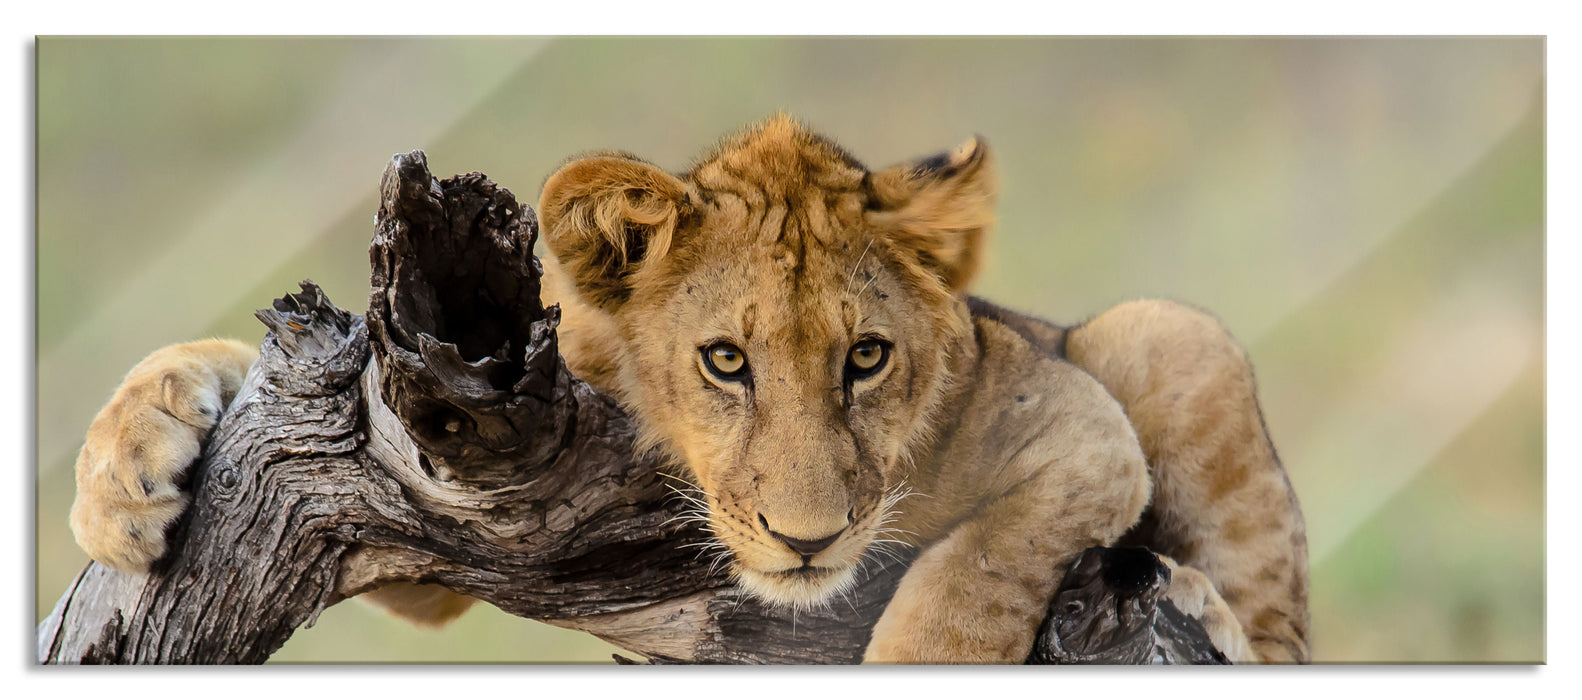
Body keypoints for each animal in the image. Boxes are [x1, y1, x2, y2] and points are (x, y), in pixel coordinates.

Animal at [67, 116, 1310, 664]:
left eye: (867, 358)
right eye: (725, 361)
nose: (808, 540)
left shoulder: (1079, 432)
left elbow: (972, 576)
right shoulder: (428, 481)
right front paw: (122, 474)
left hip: (1165, 332)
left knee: (1282, 634)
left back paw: (1203, 608)